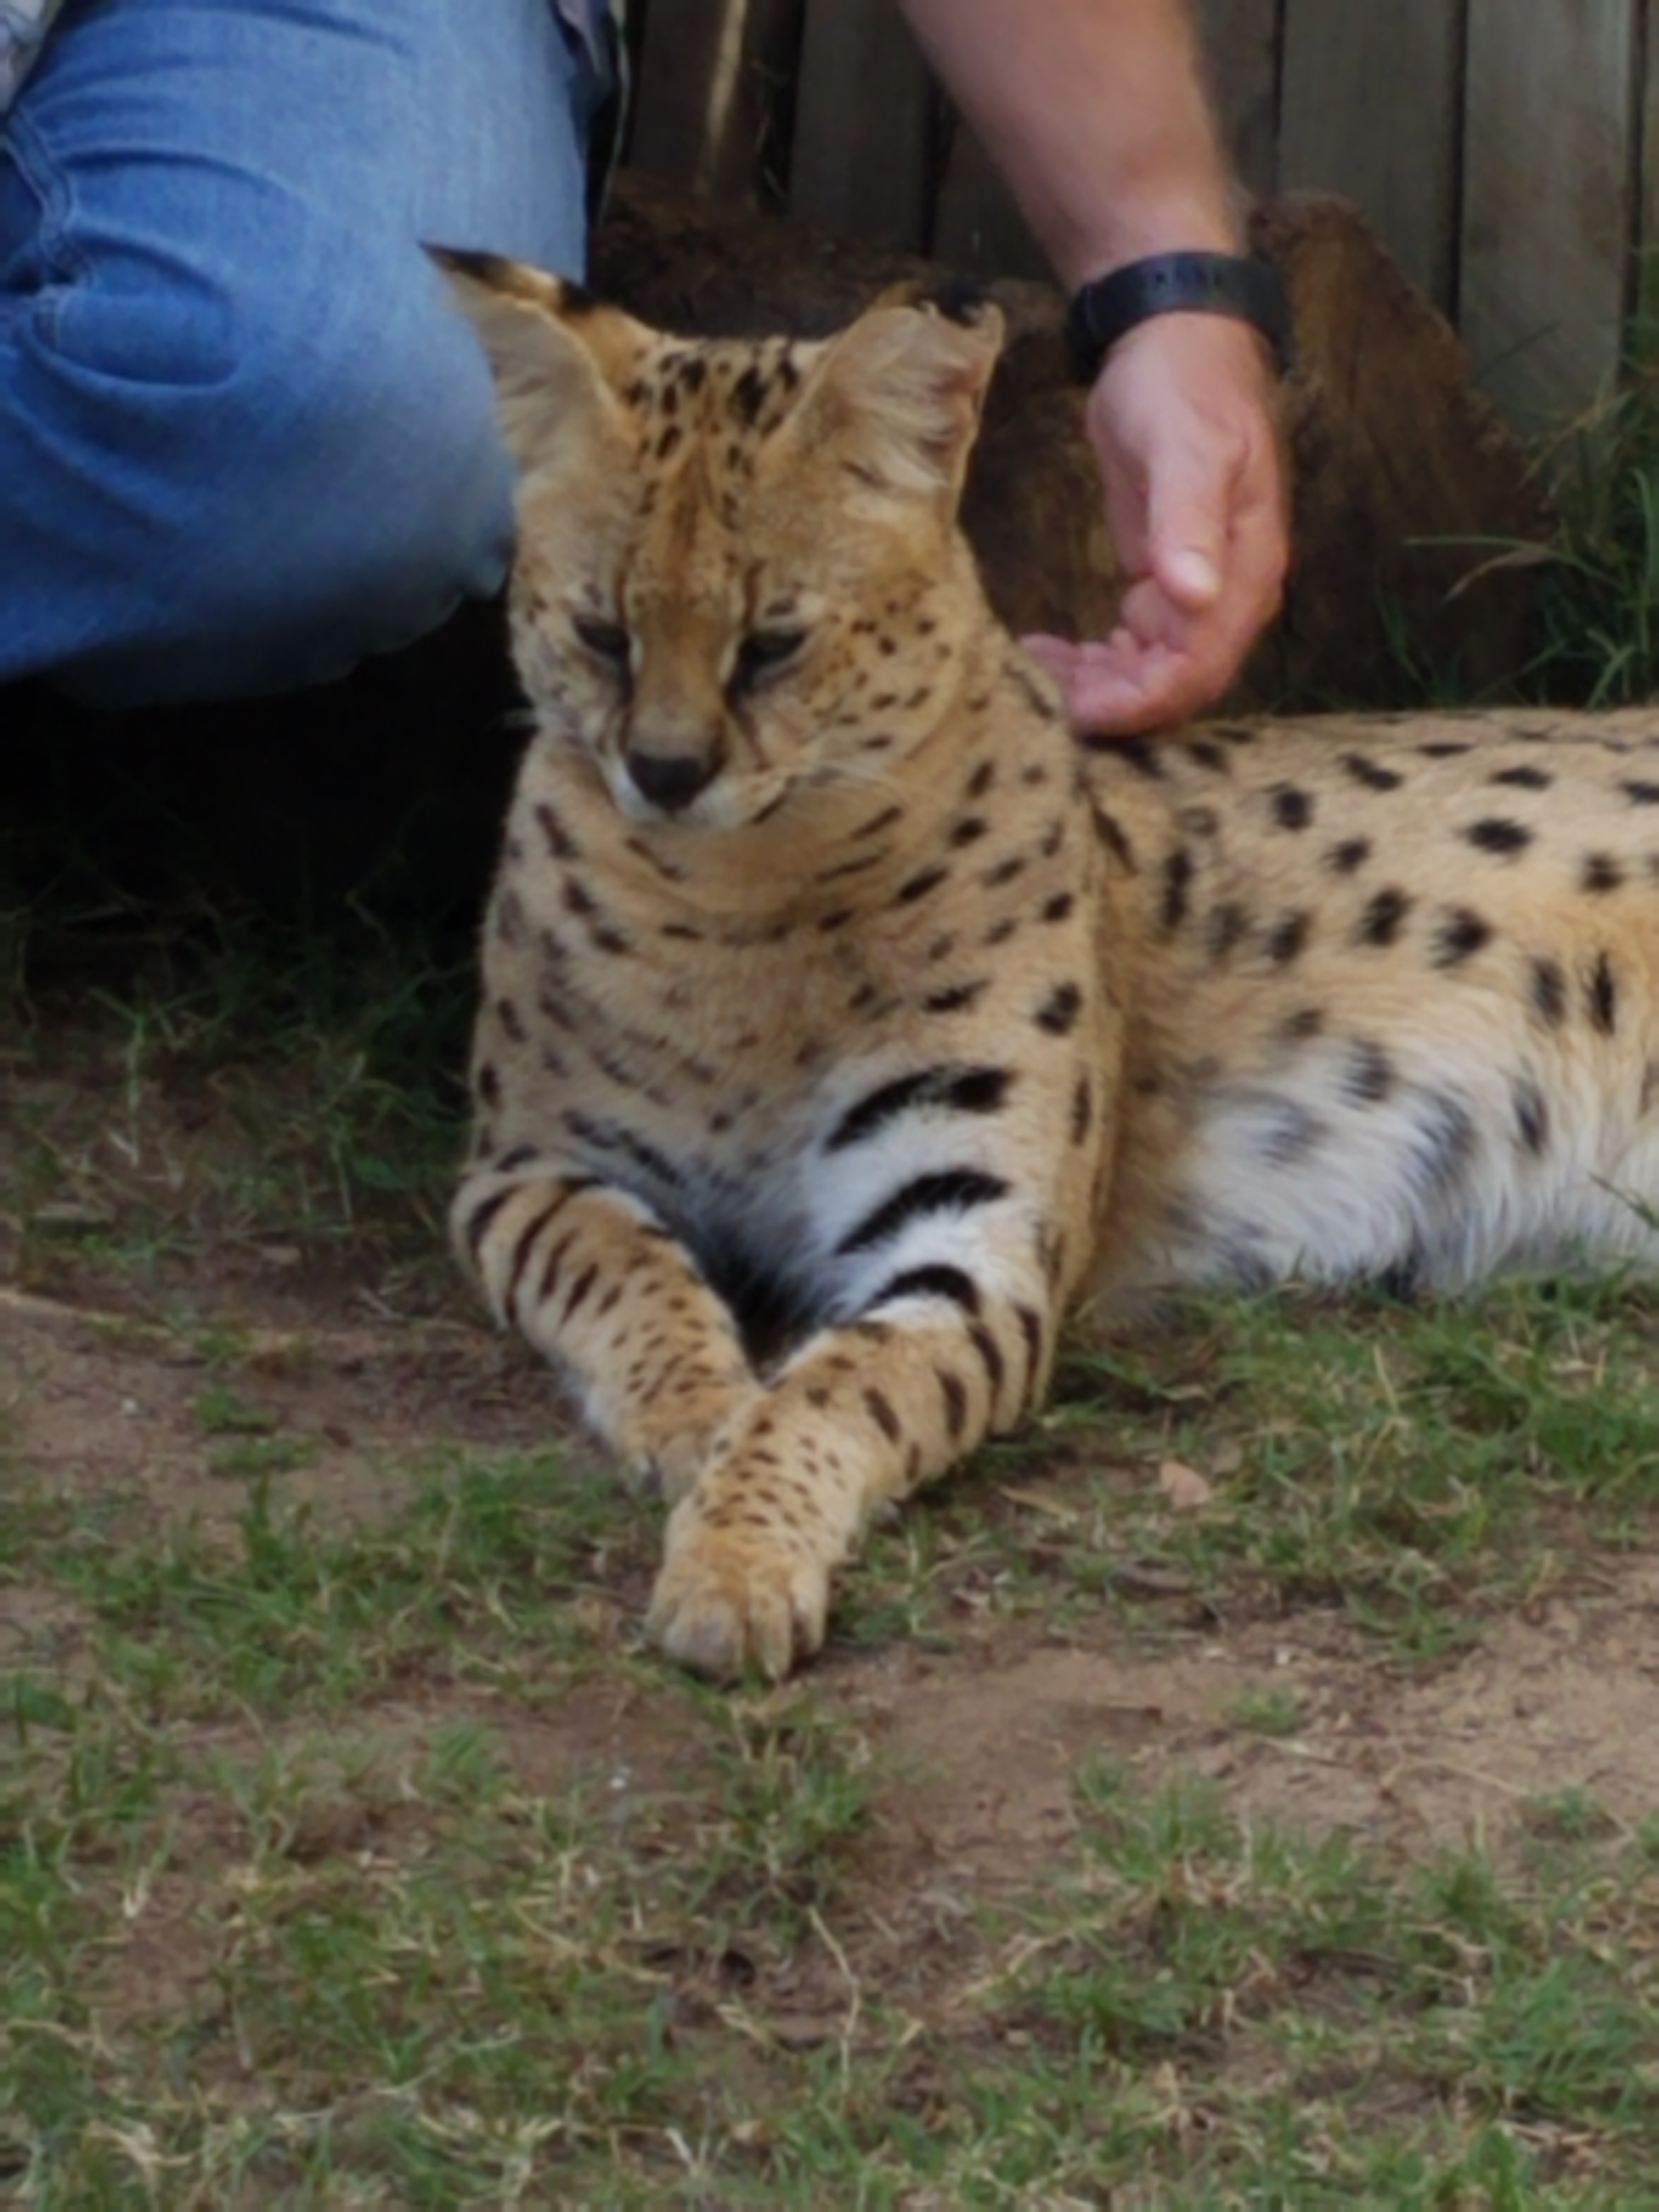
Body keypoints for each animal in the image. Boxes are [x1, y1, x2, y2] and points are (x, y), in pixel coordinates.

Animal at [435, 244, 1659, 1684]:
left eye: (775, 643)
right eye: (601, 634)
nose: (666, 772)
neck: (737, 899)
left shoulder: (974, 1235)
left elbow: (831, 1389)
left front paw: (735, 1558)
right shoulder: (523, 1168)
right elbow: (625, 1274)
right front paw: (692, 1415)